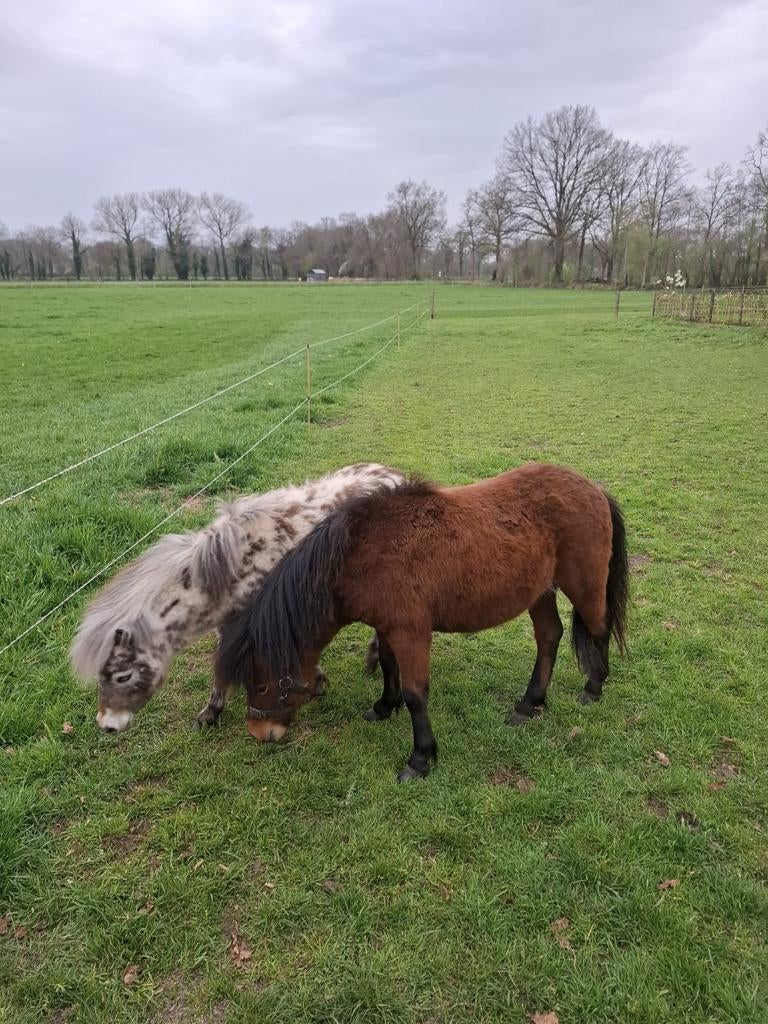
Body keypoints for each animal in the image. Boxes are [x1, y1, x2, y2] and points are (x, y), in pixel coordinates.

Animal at [215, 463, 629, 780]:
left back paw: (593, 688)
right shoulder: (386, 628)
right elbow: (387, 667)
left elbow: (416, 694)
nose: (260, 732)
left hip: (583, 584)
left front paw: (420, 759)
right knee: (549, 636)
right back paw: (529, 704)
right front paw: (384, 707)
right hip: (539, 591)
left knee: (598, 628)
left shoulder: (411, 632)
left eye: (262, 683)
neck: (363, 554)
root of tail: (594, 488)